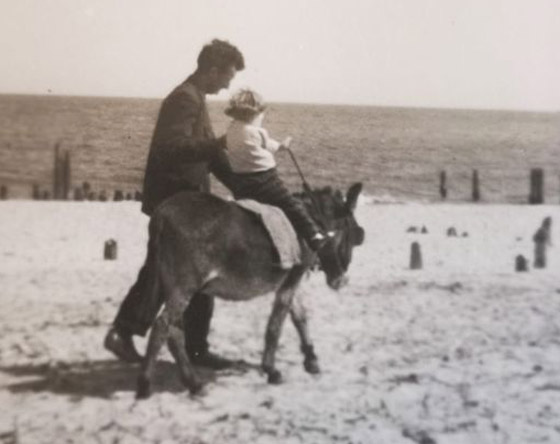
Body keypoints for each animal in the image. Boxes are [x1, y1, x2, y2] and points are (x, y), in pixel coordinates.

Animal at [136, 182, 365, 399]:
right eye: (351, 232)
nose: (341, 281)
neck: (307, 221)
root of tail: (162, 214)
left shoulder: (290, 279)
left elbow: (299, 317)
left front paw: (311, 360)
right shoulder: (293, 278)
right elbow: (275, 325)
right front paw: (271, 370)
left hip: (172, 287)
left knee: (173, 331)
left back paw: (190, 382)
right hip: (184, 287)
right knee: (163, 327)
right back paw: (149, 384)